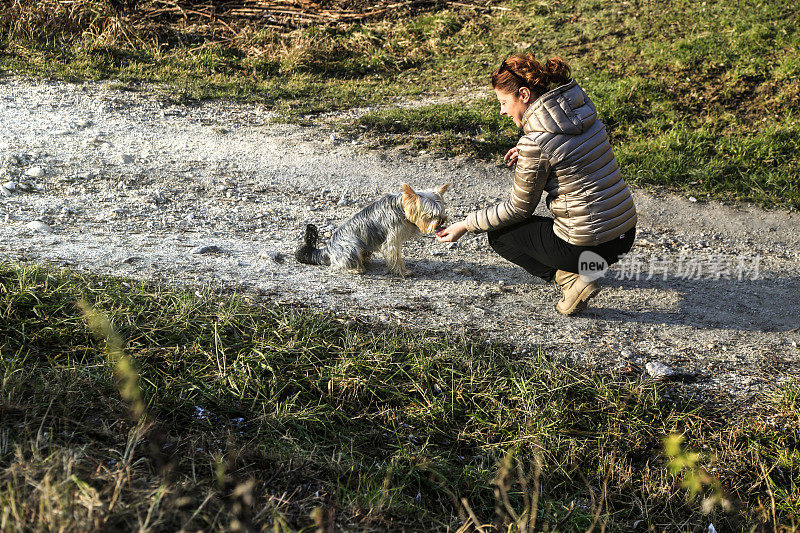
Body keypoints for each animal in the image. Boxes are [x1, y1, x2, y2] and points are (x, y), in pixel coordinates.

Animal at [296, 183, 454, 276]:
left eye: (442, 212)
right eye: (430, 215)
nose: (442, 220)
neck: (401, 208)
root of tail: (328, 249)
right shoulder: (391, 241)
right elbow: (396, 257)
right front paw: (401, 272)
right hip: (351, 247)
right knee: (339, 265)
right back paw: (357, 268)